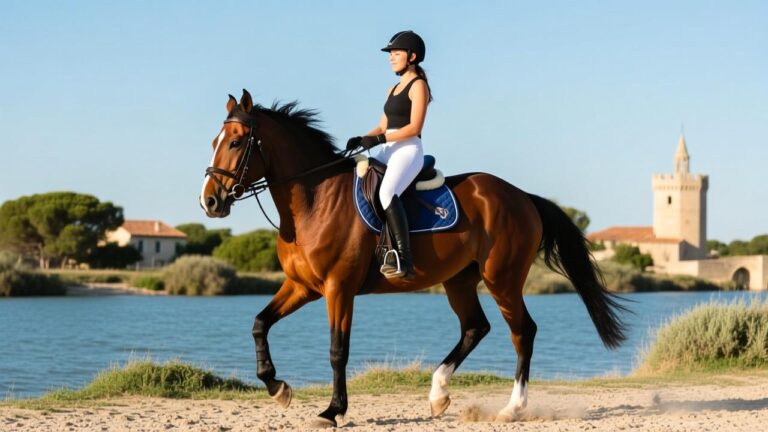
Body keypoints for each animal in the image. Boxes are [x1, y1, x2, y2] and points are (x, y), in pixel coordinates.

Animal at [200, 90, 628, 427]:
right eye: (215, 140)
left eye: (236, 143)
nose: (209, 202)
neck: (314, 200)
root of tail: (522, 196)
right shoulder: (303, 286)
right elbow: (260, 324)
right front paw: (278, 388)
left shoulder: (339, 289)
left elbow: (338, 350)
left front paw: (333, 411)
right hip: (460, 280)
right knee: (475, 327)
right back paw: (438, 394)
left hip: (502, 279)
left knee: (522, 331)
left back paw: (512, 408)